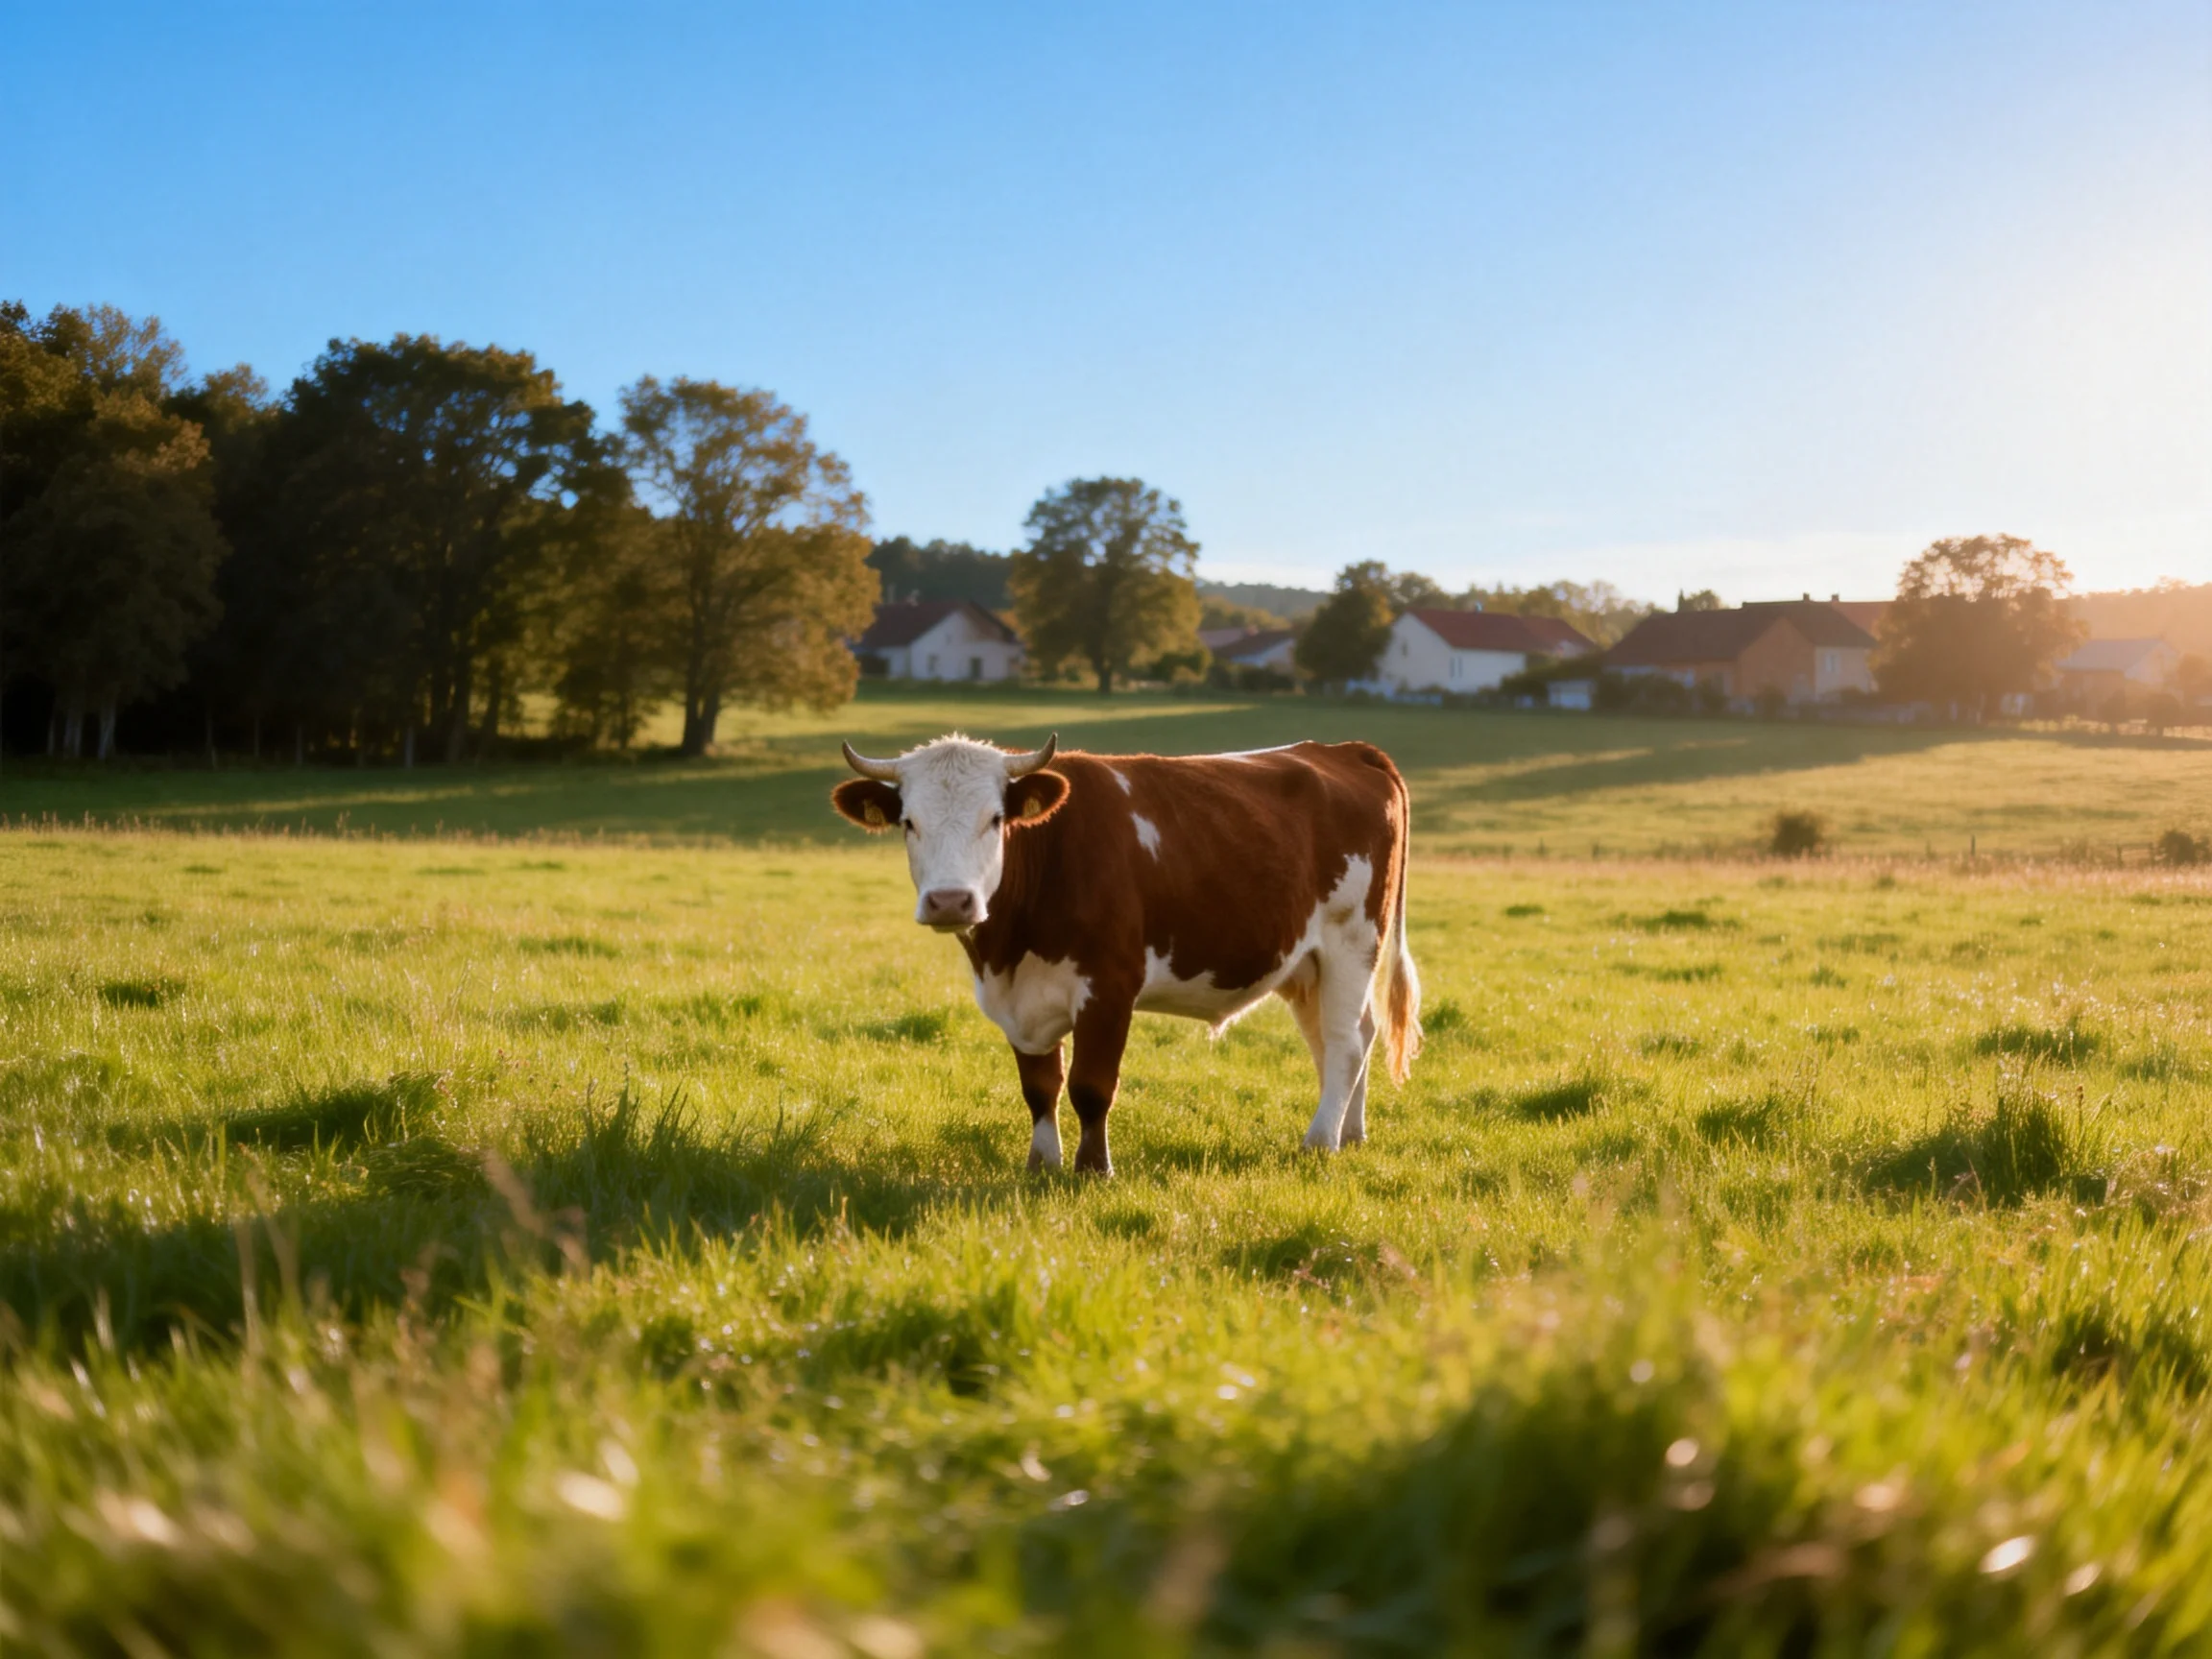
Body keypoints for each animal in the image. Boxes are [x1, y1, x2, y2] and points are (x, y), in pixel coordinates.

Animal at [830, 732, 1420, 1174]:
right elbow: (1039, 1087)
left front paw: (1094, 1169)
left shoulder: (1110, 987)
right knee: (1349, 1036)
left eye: (995, 819)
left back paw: (1319, 1140)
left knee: (1344, 1043)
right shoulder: (1019, 1002)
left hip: (1352, 941)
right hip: (1305, 964)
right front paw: (1042, 1165)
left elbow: (1091, 1087)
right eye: (909, 822)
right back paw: (1350, 1133)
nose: (950, 900)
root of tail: (1343, 749)